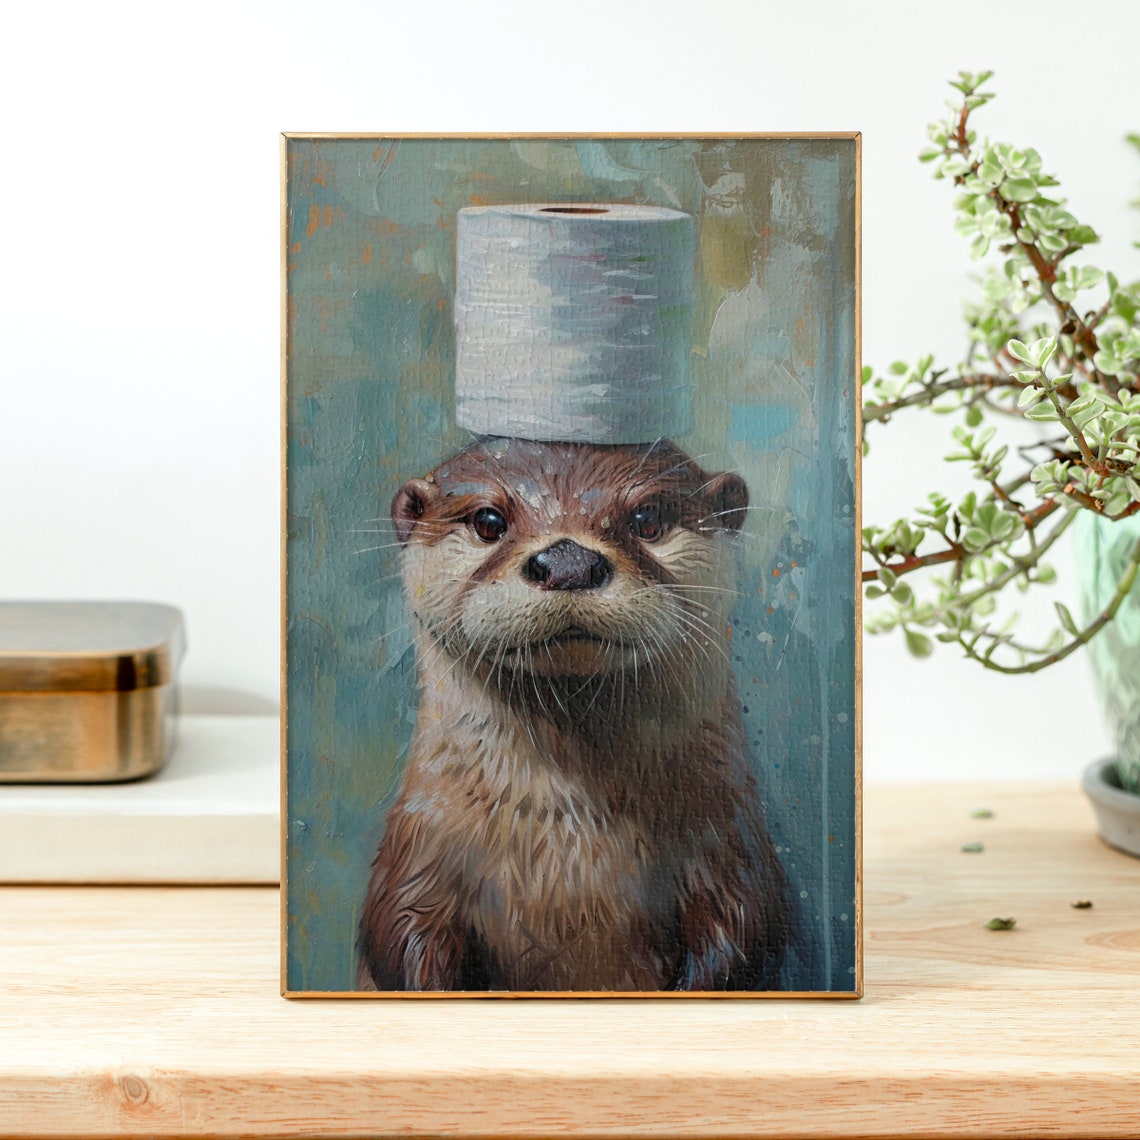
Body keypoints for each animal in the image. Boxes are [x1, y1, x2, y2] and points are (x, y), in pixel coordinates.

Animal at [357, 438, 794, 991]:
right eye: (488, 521)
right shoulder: (415, 862)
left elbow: (744, 940)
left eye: (648, 518)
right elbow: (400, 944)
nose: (569, 561)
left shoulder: (733, 859)